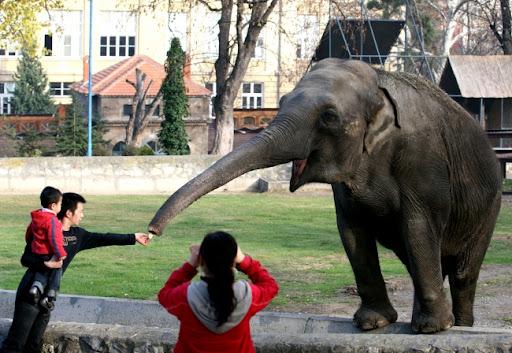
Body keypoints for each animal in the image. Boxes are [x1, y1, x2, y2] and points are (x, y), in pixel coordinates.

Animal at [147, 58, 500, 332]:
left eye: (329, 116)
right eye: (283, 100)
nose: (151, 232)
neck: (377, 79)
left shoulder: (422, 159)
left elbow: (418, 227)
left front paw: (431, 329)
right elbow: (352, 232)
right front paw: (371, 323)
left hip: (489, 205)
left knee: (462, 272)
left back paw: (459, 326)